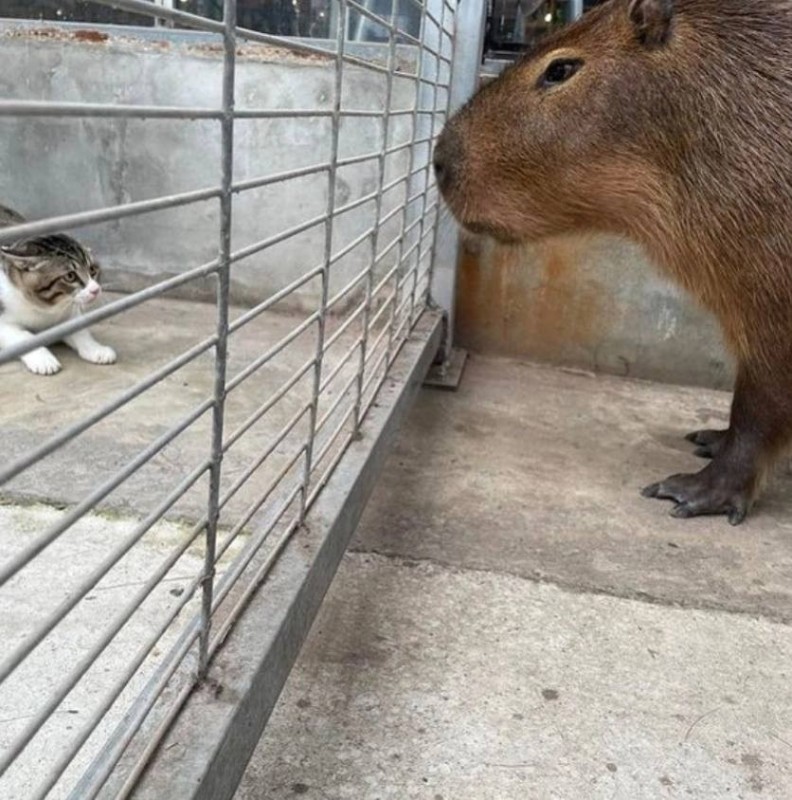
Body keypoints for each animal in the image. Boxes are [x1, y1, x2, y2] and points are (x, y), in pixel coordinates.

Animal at [0, 202, 116, 374]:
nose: (95, 290)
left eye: (92, 270)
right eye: (70, 276)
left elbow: (80, 330)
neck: (45, 309)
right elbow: (24, 337)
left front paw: (96, 349)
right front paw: (43, 359)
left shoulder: (69, 313)